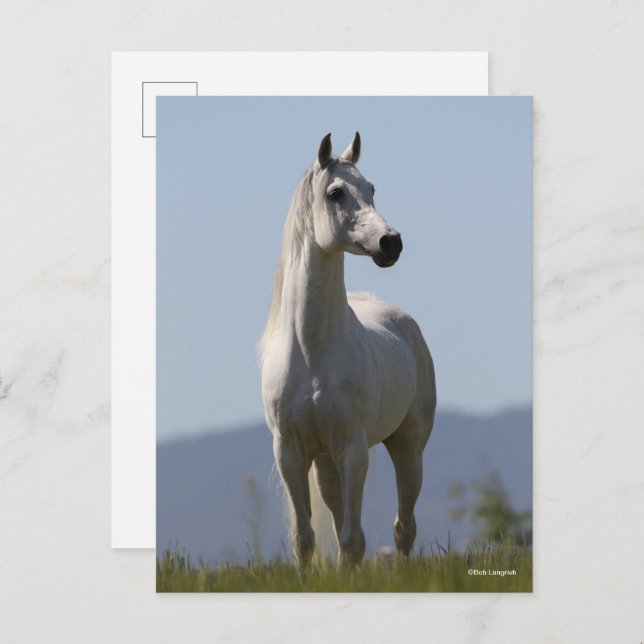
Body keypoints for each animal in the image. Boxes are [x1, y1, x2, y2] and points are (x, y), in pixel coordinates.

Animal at [259, 132, 436, 568]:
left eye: (371, 188)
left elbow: (353, 540)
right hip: (325, 463)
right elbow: (305, 538)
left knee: (403, 527)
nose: (391, 243)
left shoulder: (353, 450)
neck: (311, 350)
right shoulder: (289, 453)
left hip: (408, 448)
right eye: (335, 192)